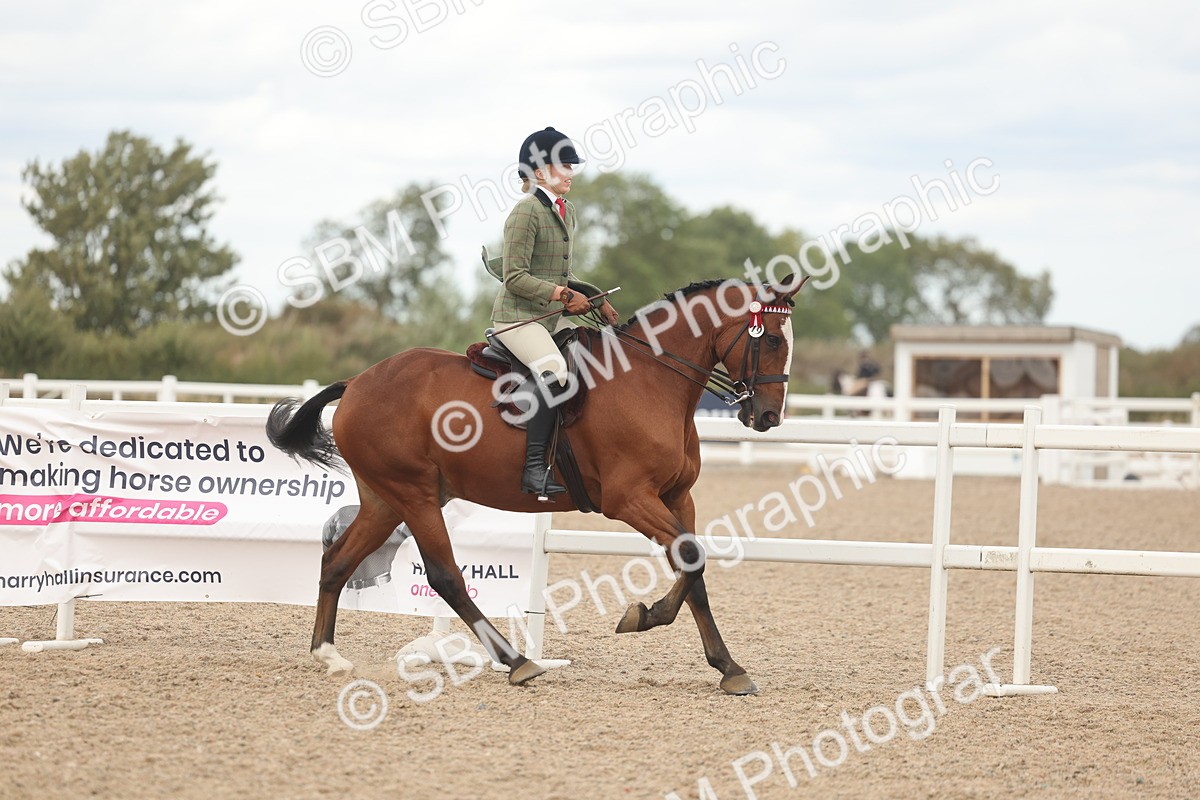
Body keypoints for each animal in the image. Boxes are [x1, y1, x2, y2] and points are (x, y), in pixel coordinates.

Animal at [266, 276, 804, 695]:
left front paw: (729, 668)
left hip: (385, 499)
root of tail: (357, 382)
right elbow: (692, 559)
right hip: (413, 494)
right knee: (444, 576)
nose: (768, 417)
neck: (651, 381)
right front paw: (641, 616)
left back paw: (328, 655)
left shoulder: (677, 497)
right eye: (772, 340)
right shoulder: (629, 500)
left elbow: (693, 570)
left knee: (337, 561)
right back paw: (518, 662)